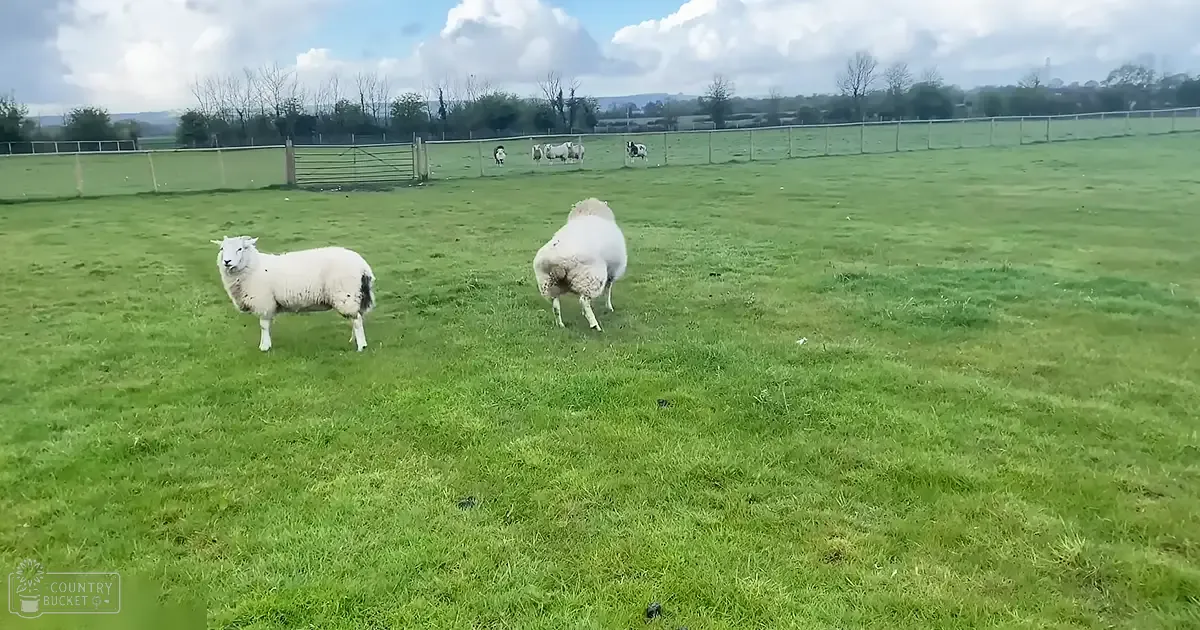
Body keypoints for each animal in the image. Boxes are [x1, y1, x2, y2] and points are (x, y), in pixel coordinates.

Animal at [210, 235, 376, 352]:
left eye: (240, 249)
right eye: (221, 249)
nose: (227, 261)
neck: (253, 267)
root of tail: (363, 266)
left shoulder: (264, 303)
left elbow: (264, 326)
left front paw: (264, 347)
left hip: (346, 295)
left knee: (357, 320)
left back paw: (361, 346)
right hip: (355, 296)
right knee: (357, 318)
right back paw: (353, 340)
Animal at [532, 198, 627, 331]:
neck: (589, 213)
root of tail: (558, 265)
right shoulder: (612, 272)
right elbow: (608, 290)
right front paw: (609, 307)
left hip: (548, 283)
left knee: (555, 305)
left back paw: (560, 324)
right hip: (590, 278)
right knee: (584, 301)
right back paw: (595, 325)